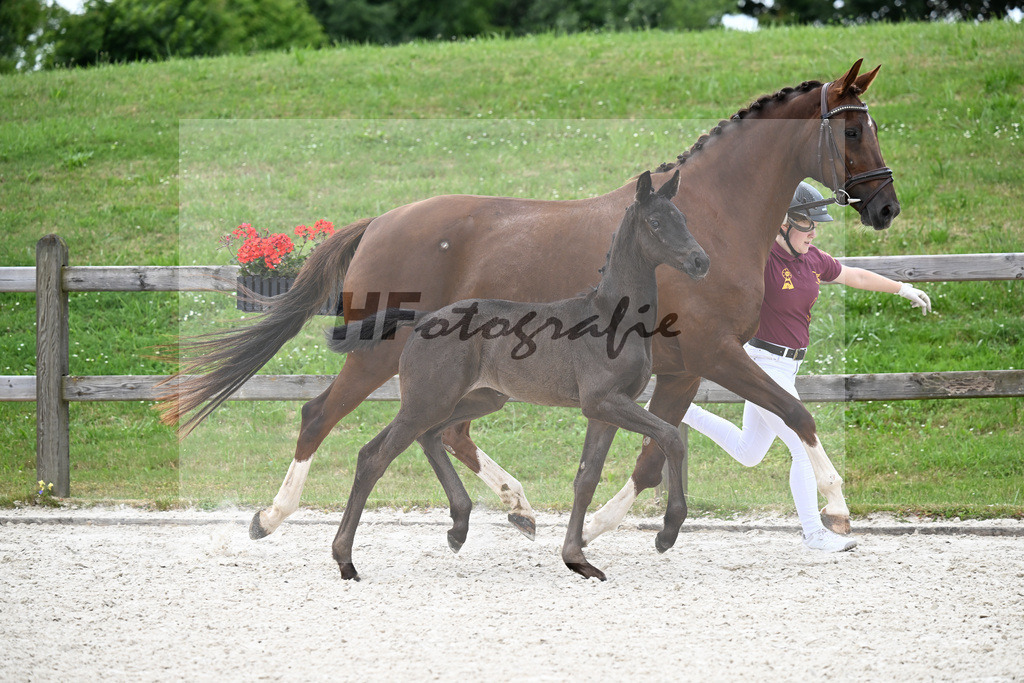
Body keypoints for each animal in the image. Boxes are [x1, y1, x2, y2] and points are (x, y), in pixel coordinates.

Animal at [323, 170, 708, 581]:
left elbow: (586, 478)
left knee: (427, 437)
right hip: (427, 401)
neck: (612, 319)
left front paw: (577, 557)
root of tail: (425, 318)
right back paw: (345, 559)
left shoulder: (605, 410)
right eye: (656, 222)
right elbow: (671, 437)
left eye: (684, 218)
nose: (700, 261)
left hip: (476, 399)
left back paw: (459, 527)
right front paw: (667, 531)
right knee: (375, 456)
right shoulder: (604, 401)